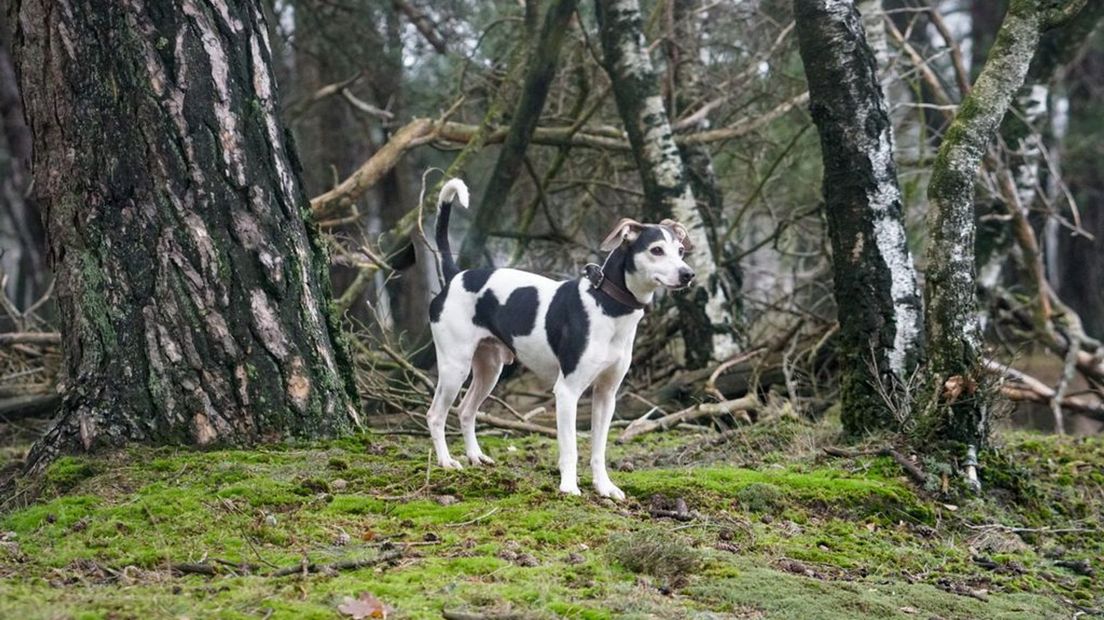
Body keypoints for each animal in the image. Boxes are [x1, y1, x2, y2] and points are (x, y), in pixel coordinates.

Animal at [426, 178, 693, 496]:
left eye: (680, 250)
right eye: (656, 250)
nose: (688, 274)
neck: (609, 306)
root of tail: (455, 276)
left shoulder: (606, 395)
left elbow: (598, 450)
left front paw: (604, 487)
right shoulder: (567, 393)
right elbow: (570, 449)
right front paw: (568, 487)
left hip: (489, 369)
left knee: (466, 411)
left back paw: (475, 456)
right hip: (455, 369)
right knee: (436, 415)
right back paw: (445, 462)